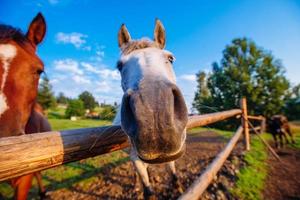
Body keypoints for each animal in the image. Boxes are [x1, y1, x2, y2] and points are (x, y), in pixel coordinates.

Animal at [114, 19, 188, 198]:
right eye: (119, 66)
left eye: (170, 58)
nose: (156, 117)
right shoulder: (135, 158)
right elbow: (147, 188)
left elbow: (173, 173)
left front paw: (179, 189)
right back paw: (135, 186)